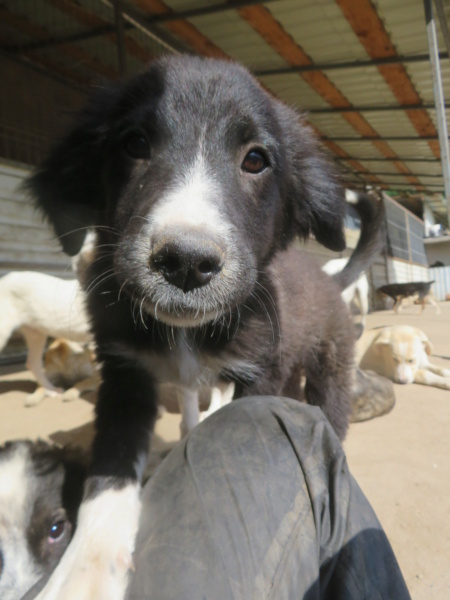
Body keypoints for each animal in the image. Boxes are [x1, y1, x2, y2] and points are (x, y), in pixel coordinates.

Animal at [27, 55, 384, 596]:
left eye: (255, 160)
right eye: (134, 143)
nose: (186, 262)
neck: (185, 334)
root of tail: (329, 277)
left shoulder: (259, 372)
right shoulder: (124, 375)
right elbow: (109, 471)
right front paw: (85, 571)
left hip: (328, 368)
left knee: (331, 411)